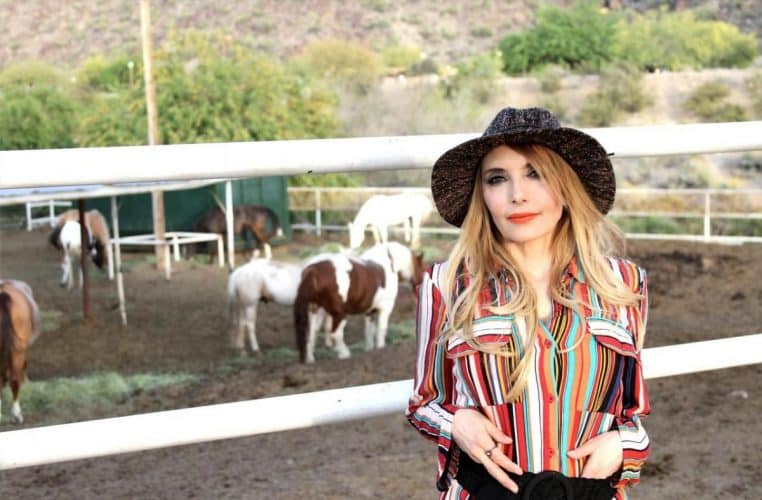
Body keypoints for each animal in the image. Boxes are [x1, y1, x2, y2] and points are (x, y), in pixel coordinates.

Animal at [293, 242, 425, 364]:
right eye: (422, 268)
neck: (390, 263)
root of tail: (313, 271)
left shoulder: (370, 311)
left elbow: (369, 332)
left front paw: (370, 350)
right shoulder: (385, 308)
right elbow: (381, 330)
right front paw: (381, 348)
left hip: (315, 310)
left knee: (311, 334)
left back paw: (310, 359)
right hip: (339, 314)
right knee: (335, 333)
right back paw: (344, 354)